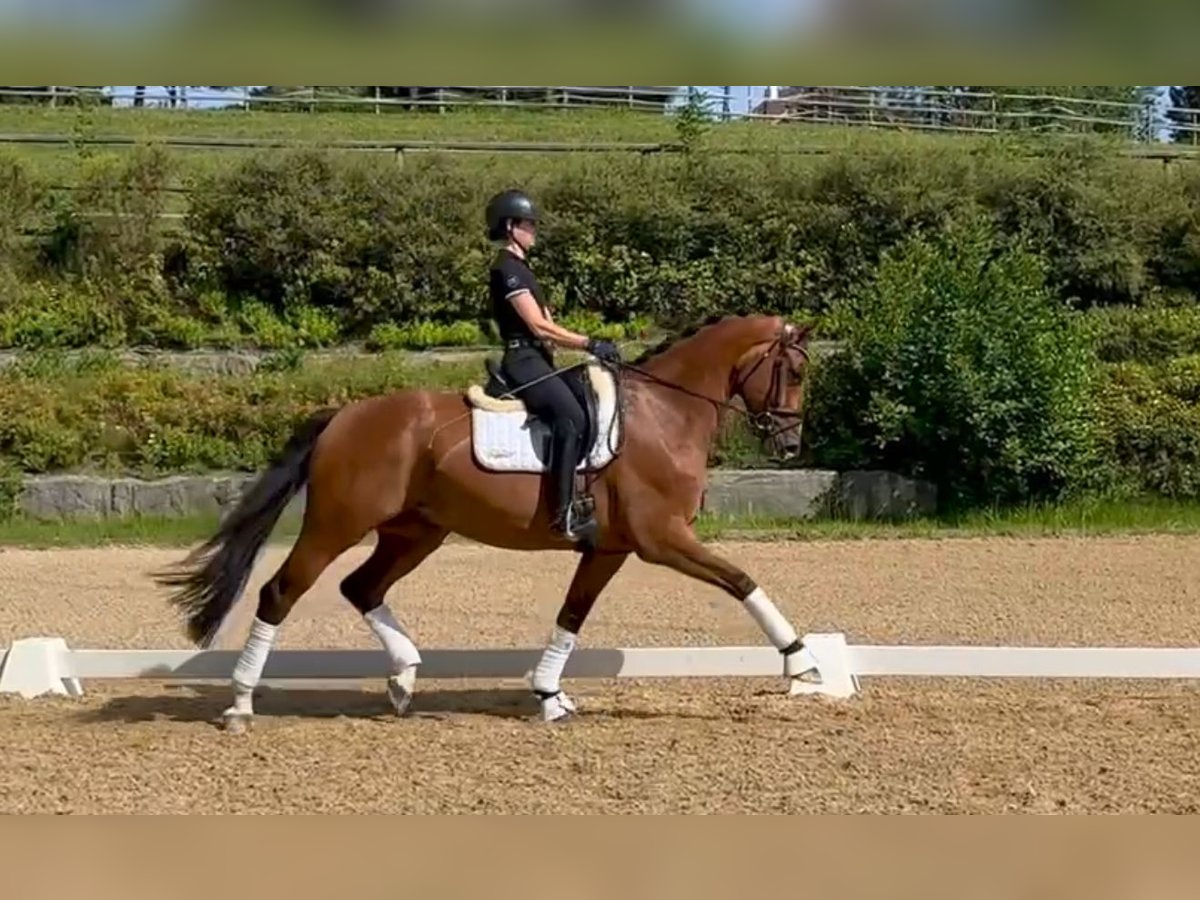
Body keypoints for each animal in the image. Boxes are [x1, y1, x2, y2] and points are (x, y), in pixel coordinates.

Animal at [154, 312, 820, 734]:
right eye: (794, 372)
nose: (789, 445)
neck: (664, 411)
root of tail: (342, 416)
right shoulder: (662, 538)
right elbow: (740, 580)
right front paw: (803, 663)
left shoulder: (610, 548)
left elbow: (572, 615)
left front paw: (550, 696)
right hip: (335, 525)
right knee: (281, 591)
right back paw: (241, 704)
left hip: (415, 532)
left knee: (361, 587)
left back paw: (404, 680)